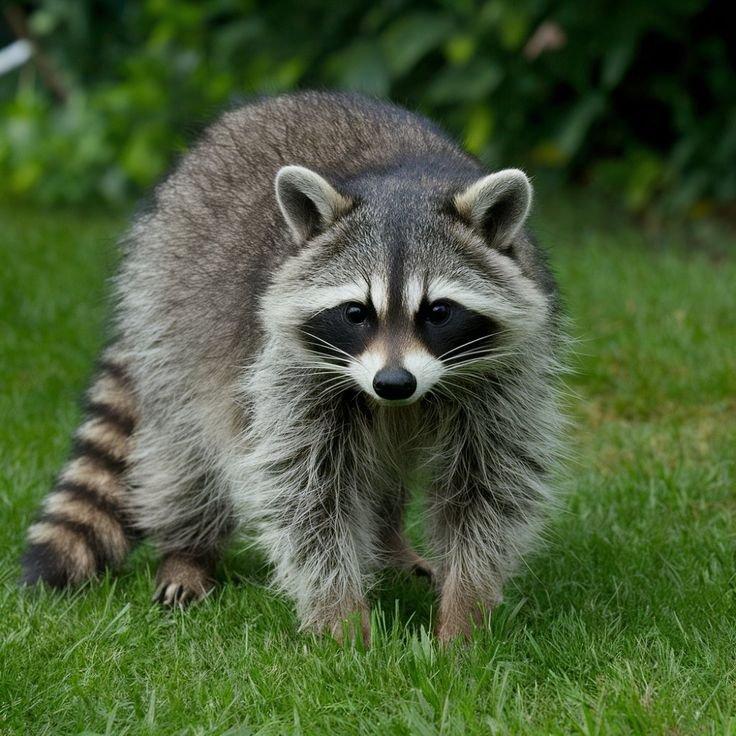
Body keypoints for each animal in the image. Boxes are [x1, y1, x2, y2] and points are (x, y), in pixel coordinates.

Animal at [21, 91, 564, 644]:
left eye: (438, 312)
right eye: (356, 312)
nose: (393, 383)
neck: (403, 187)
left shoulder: (504, 374)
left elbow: (486, 490)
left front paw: (463, 612)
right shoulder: (290, 368)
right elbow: (308, 493)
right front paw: (342, 620)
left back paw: (389, 543)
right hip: (170, 305)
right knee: (186, 449)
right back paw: (188, 550)